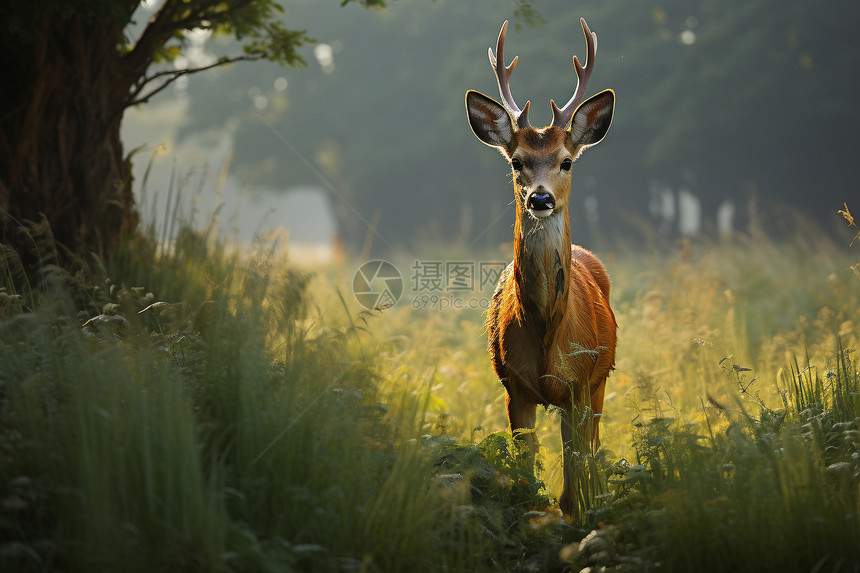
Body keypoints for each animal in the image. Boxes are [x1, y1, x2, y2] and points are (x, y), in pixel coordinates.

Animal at [464, 20, 620, 516]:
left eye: (565, 161)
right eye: (517, 162)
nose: (540, 197)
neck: (550, 332)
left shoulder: (580, 385)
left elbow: (574, 485)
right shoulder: (514, 386)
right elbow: (524, 476)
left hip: (602, 379)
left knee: (593, 453)